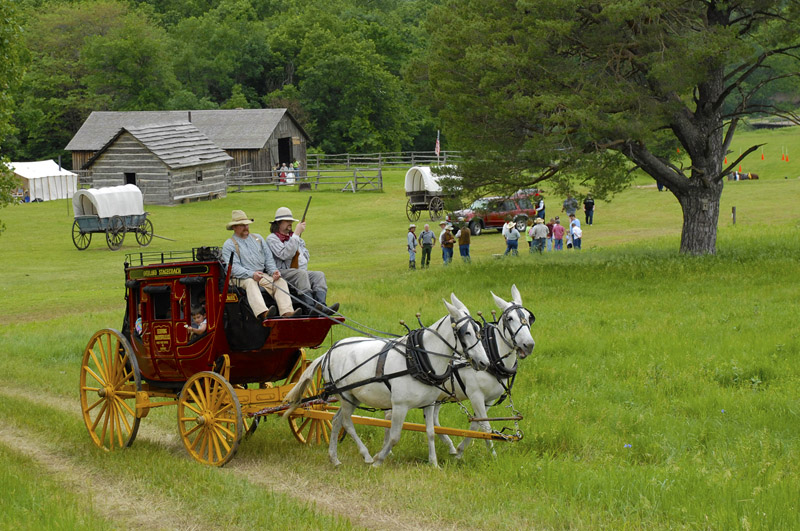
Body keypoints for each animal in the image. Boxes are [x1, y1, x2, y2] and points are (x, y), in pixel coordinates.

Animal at [284, 296, 490, 470]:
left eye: (479, 331)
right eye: (466, 332)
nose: (484, 363)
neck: (418, 359)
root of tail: (328, 352)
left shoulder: (429, 404)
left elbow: (431, 433)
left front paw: (434, 464)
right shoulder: (399, 405)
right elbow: (394, 436)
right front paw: (378, 459)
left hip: (351, 396)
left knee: (335, 421)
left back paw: (334, 458)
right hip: (345, 395)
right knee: (347, 422)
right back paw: (366, 456)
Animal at [428, 284, 536, 460]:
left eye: (529, 316)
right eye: (510, 318)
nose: (529, 344)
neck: (492, 356)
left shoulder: (489, 400)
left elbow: (476, 425)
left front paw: (459, 452)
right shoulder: (476, 395)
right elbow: (485, 427)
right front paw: (493, 457)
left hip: (440, 395)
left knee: (433, 419)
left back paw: (450, 446)